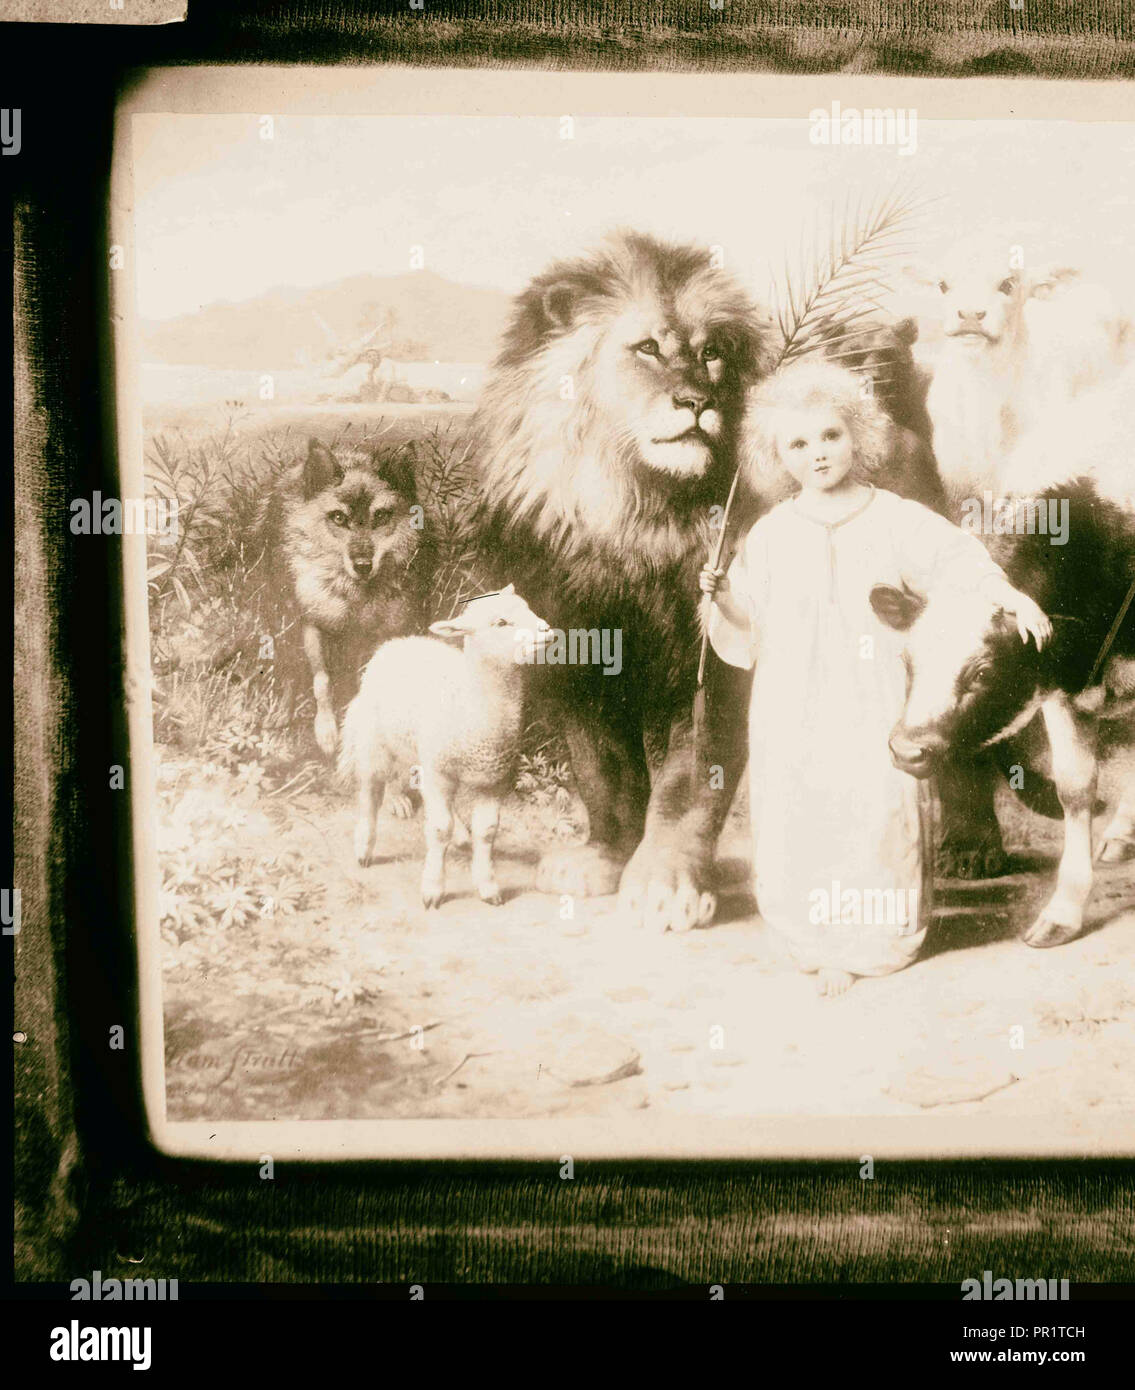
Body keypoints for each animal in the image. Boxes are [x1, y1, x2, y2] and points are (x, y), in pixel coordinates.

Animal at [338, 586, 550, 911]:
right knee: (370, 792)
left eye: (527, 607)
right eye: (500, 622)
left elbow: (487, 831)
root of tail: (400, 641)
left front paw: (488, 886)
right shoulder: (440, 772)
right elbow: (439, 829)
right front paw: (433, 889)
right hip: (375, 741)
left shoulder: (493, 777)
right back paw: (366, 845)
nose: (547, 630)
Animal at [464, 227, 772, 928]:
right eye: (648, 348)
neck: (636, 516)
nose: (697, 402)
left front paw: (667, 885)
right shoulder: (574, 650)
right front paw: (602, 858)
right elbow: (601, 770)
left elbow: (688, 784)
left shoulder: (713, 663)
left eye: (711, 354)